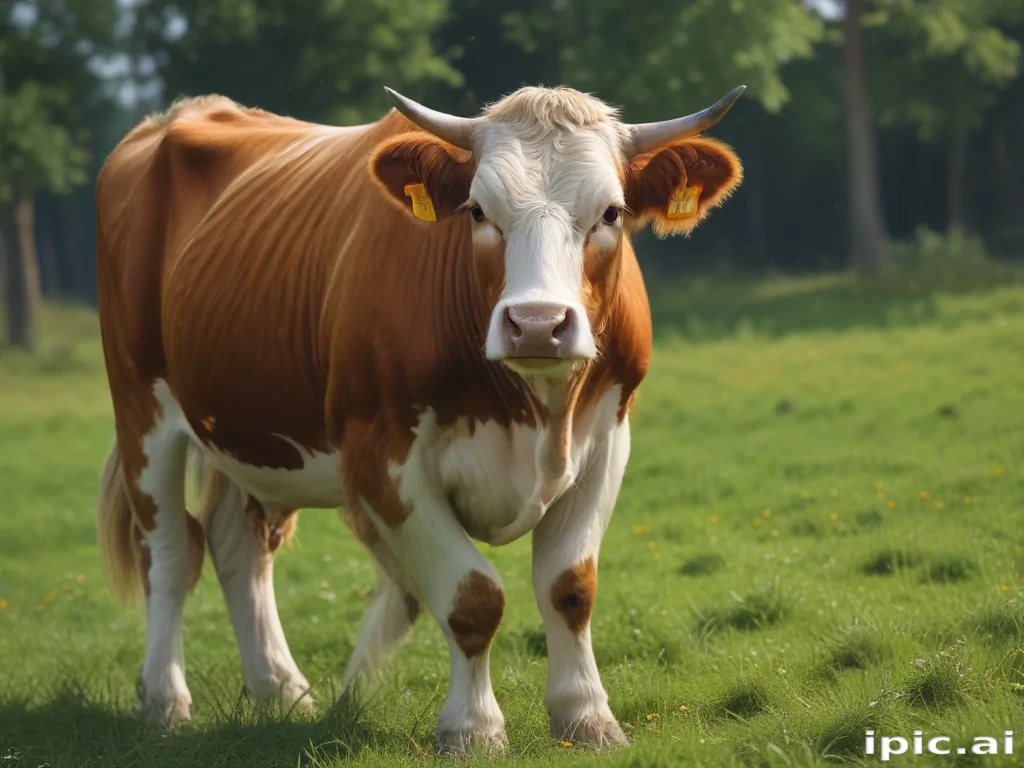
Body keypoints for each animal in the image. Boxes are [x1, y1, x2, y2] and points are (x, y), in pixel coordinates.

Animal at [94, 84, 743, 753]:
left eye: (611, 212)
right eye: (477, 211)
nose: (538, 323)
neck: (533, 412)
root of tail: (183, 113)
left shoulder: (608, 439)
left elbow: (570, 587)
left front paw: (586, 715)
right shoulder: (383, 457)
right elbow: (472, 596)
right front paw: (472, 727)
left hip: (247, 433)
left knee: (238, 549)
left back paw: (281, 691)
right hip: (142, 409)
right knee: (170, 554)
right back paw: (166, 701)